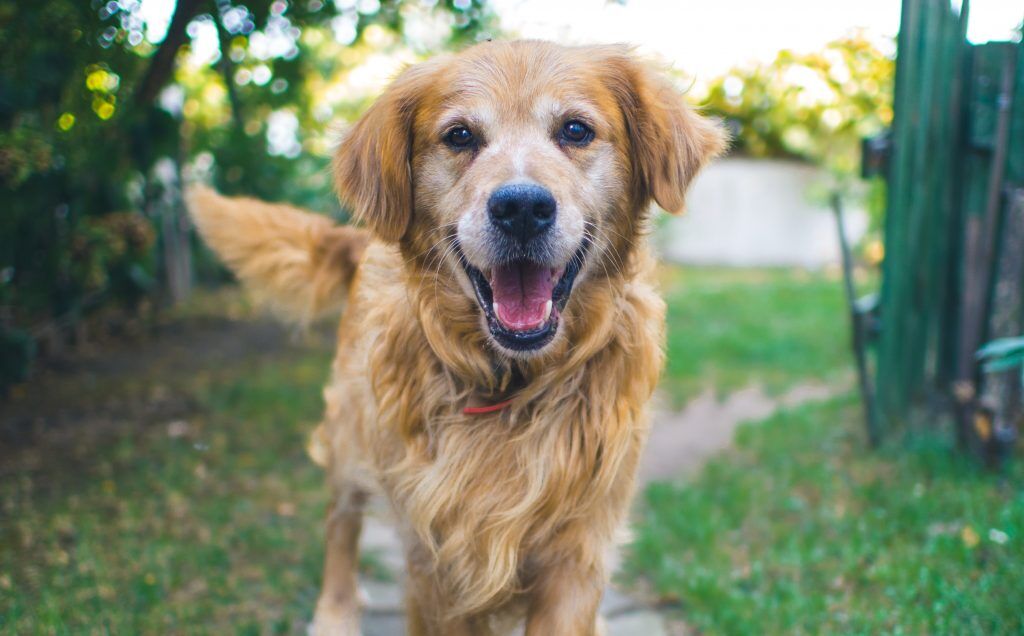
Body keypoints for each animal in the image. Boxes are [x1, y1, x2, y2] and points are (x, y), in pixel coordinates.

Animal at [188, 39, 724, 634]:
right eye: (461, 136)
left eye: (576, 130)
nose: (521, 207)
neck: (512, 386)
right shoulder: (434, 559)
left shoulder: (577, 554)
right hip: (351, 433)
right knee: (341, 522)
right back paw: (335, 612)